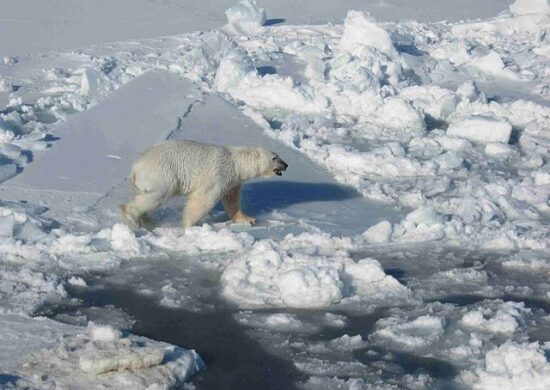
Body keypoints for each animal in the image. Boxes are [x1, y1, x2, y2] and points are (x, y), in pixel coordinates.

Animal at [119, 141, 288, 229]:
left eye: (278, 156)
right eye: (274, 158)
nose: (286, 164)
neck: (236, 162)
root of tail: (135, 167)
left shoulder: (232, 181)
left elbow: (232, 200)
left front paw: (248, 219)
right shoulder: (219, 173)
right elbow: (204, 198)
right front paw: (189, 224)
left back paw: (148, 221)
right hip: (161, 174)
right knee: (156, 195)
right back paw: (132, 218)